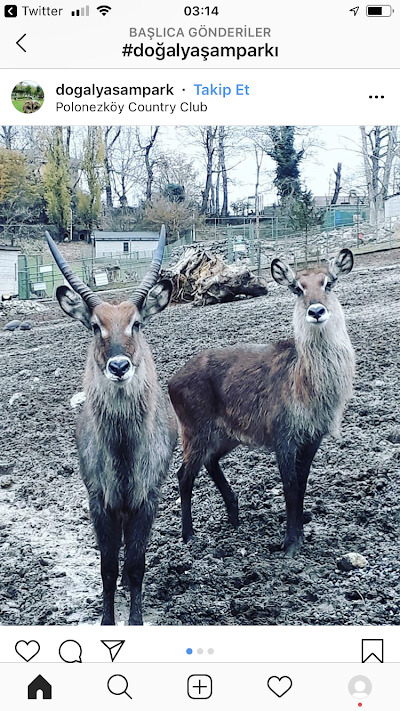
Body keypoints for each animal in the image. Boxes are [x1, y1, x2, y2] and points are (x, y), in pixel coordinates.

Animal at [46, 227, 177, 624]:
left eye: (137, 323)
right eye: (94, 326)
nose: (119, 366)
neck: (123, 453)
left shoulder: (147, 499)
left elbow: (135, 565)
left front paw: (134, 620)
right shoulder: (99, 500)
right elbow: (106, 566)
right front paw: (107, 620)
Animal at [167, 249, 354, 556]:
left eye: (329, 283)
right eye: (297, 288)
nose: (316, 311)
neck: (305, 383)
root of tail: (171, 380)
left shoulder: (312, 437)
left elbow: (302, 484)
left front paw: (300, 536)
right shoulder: (283, 437)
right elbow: (290, 485)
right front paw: (290, 544)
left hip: (227, 435)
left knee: (210, 462)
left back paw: (234, 515)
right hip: (195, 431)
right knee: (184, 475)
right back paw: (189, 535)